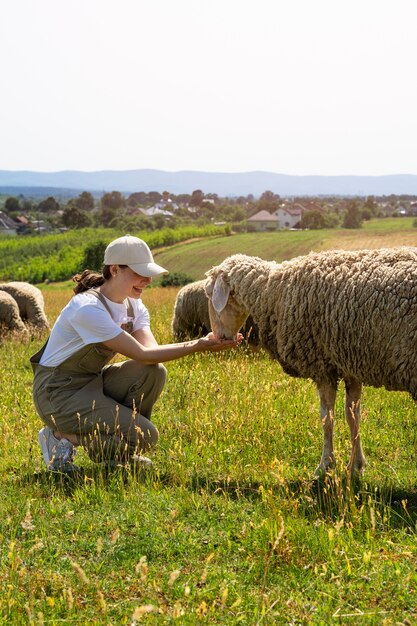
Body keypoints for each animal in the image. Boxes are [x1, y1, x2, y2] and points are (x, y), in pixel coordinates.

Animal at [205, 246, 417, 476]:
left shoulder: (321, 365)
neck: (271, 291)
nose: (219, 337)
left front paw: (326, 465)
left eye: (209, 294)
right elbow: (353, 416)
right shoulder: (349, 363)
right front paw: (356, 466)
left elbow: (327, 418)